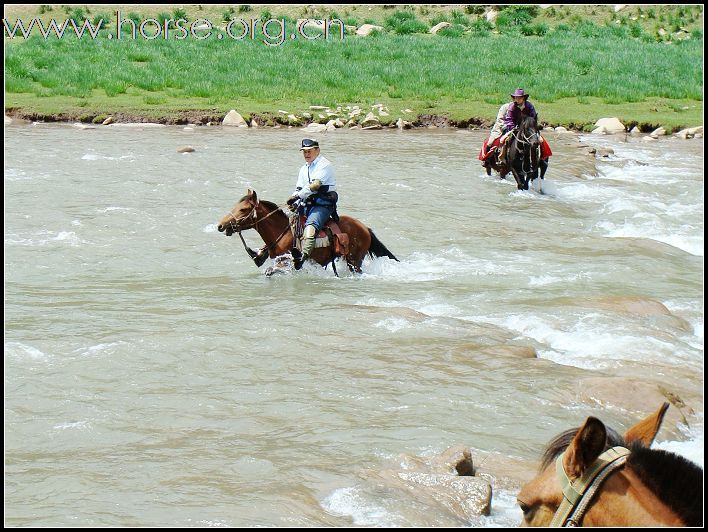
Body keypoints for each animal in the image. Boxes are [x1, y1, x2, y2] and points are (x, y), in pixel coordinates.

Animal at [216, 189, 398, 274]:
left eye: (243, 209)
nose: (221, 226)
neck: (283, 232)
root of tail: (365, 228)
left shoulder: (287, 262)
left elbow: (270, 271)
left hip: (355, 261)